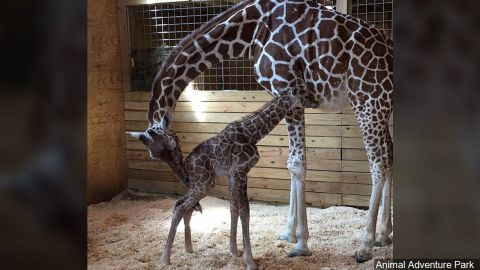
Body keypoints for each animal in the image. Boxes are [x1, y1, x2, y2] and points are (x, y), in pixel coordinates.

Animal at [129, 94, 302, 268]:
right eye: (302, 95)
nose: (305, 105)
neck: (252, 134)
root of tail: (187, 165)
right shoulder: (240, 171)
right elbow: (245, 211)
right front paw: (249, 261)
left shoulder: (234, 174)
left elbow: (234, 208)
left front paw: (235, 251)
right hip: (203, 184)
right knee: (180, 206)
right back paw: (165, 259)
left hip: (201, 184)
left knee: (184, 205)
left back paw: (188, 249)